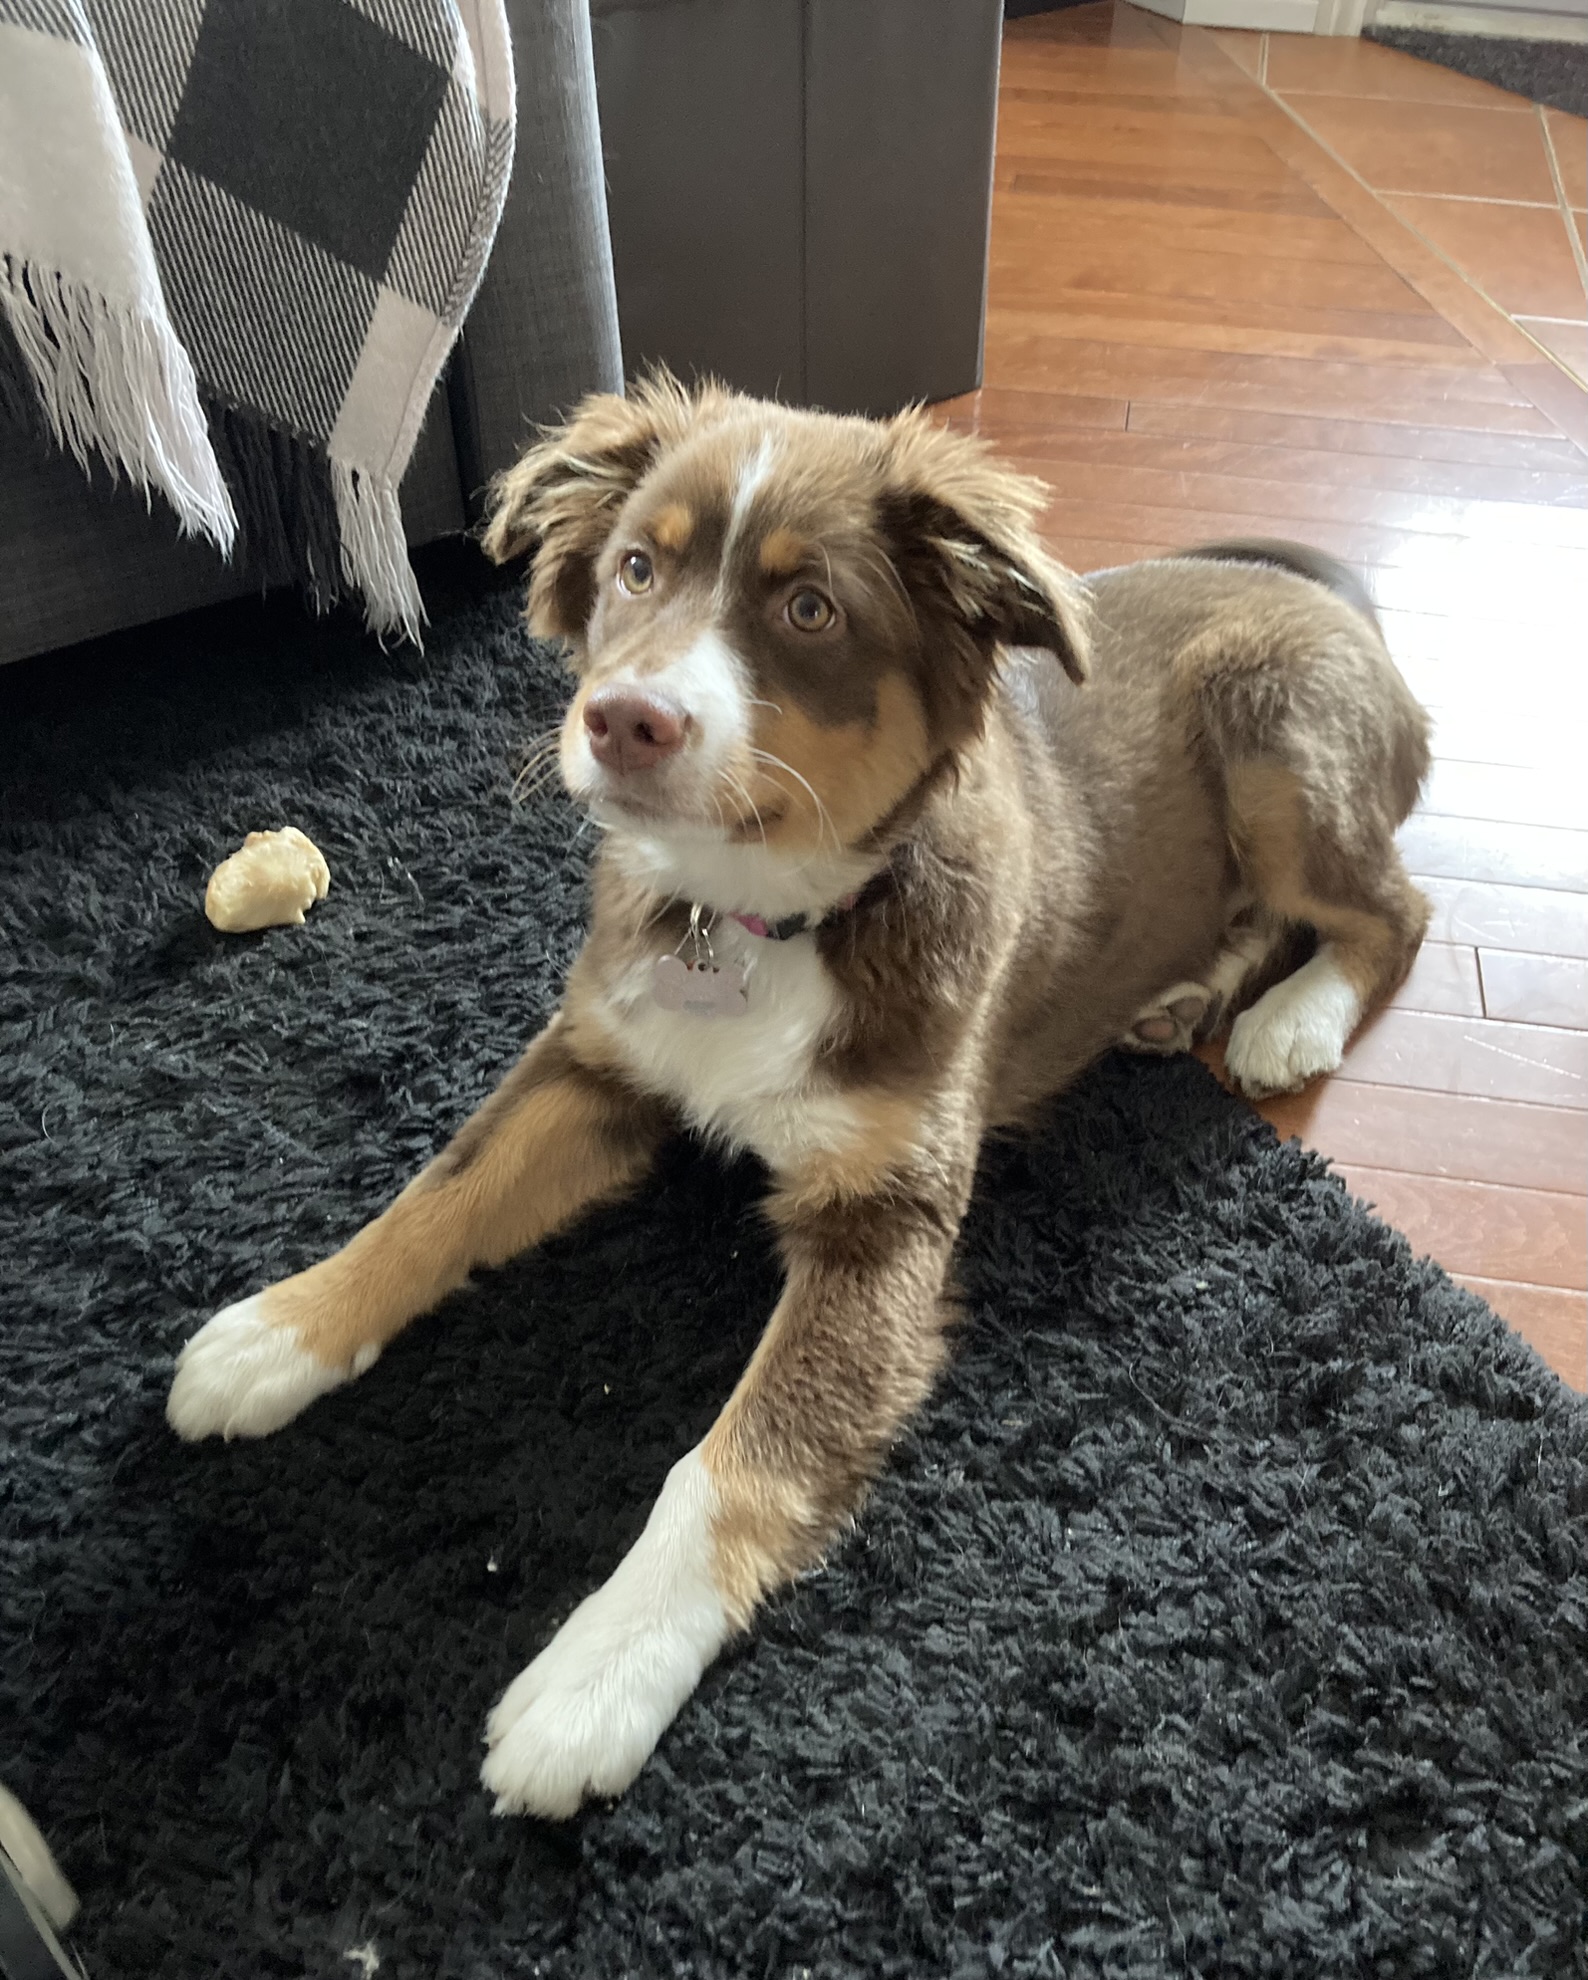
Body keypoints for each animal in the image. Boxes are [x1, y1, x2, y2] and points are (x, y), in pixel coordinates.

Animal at [167, 375, 1431, 1819]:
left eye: (810, 608)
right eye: (637, 568)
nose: (624, 721)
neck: (758, 916)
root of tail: (1338, 606)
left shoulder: (883, 1216)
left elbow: (735, 1463)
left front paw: (592, 1682)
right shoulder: (597, 1058)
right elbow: (441, 1190)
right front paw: (278, 1333)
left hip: (1274, 734)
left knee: (1392, 911)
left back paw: (1290, 1019)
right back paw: (1186, 996)